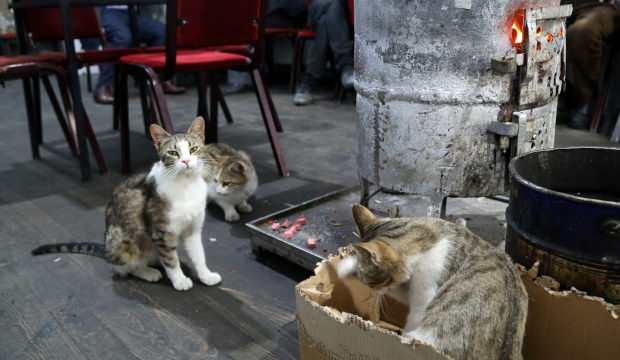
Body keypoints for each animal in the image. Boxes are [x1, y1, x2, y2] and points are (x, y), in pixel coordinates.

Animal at [31, 116, 222, 292]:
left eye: (193, 149)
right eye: (173, 153)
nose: (186, 161)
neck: (186, 186)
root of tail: (106, 249)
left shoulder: (193, 229)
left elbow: (198, 254)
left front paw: (206, 275)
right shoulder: (160, 231)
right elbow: (170, 259)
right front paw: (180, 280)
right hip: (122, 240)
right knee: (125, 267)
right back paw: (148, 272)